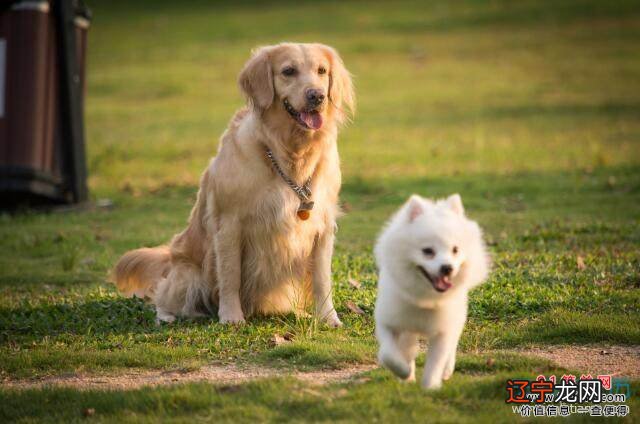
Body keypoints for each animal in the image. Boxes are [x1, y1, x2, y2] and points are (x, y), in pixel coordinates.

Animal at [372, 194, 488, 390]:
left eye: (455, 250)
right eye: (428, 251)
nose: (447, 268)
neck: (425, 299)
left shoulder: (443, 331)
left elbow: (436, 362)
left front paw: (430, 388)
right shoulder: (388, 322)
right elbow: (389, 354)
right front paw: (404, 371)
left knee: (452, 345)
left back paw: (447, 370)